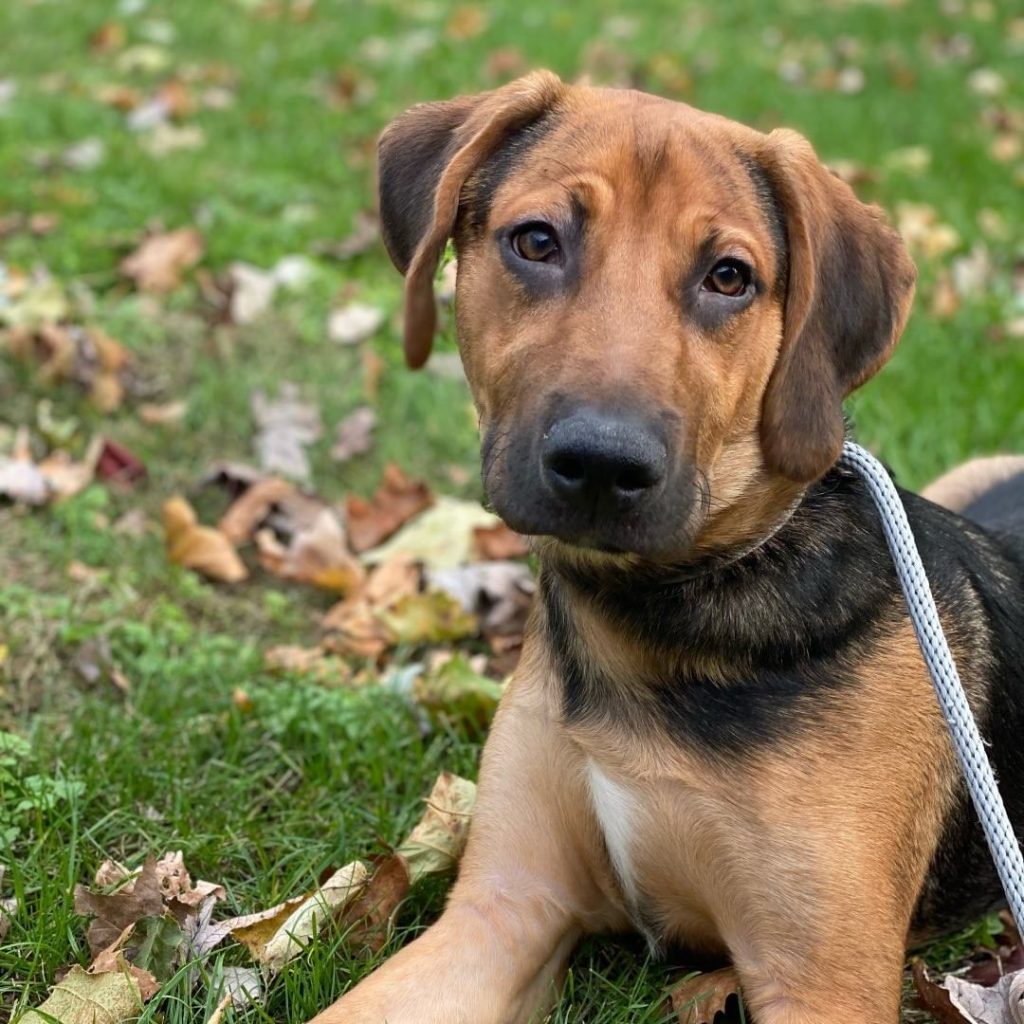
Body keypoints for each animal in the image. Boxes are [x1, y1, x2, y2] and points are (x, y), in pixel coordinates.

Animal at [309, 68, 1024, 1019]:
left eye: (729, 277)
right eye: (536, 241)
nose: (602, 465)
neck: (653, 625)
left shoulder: (821, 983)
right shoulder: (503, 905)